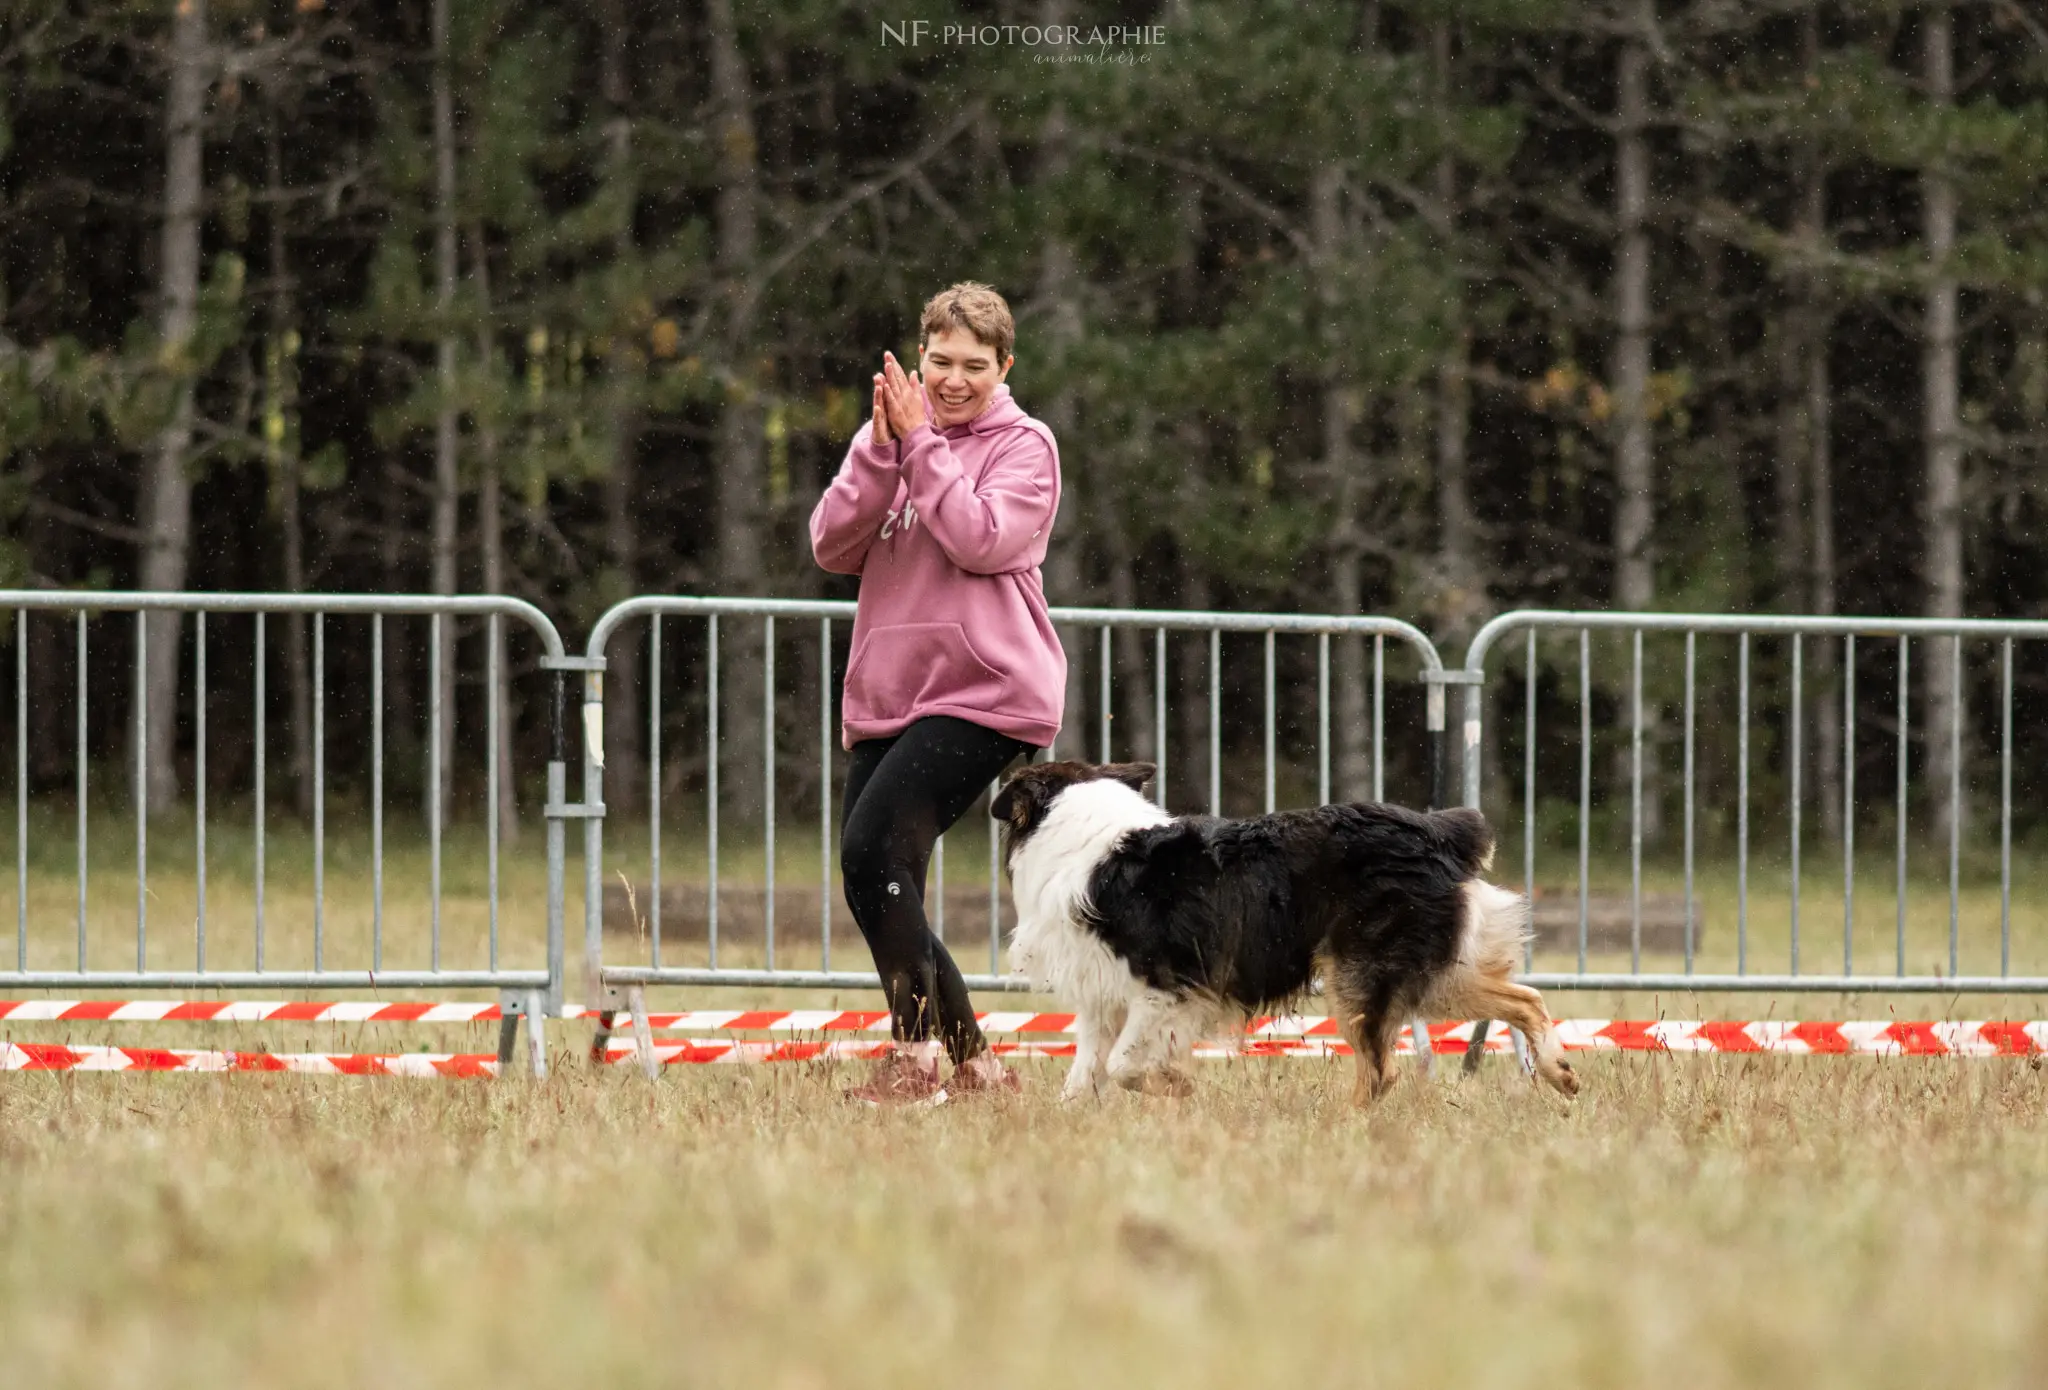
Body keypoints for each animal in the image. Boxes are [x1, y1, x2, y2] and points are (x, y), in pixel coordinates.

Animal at [995, 761, 1581, 1105]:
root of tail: (1439, 829)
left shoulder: (1169, 988)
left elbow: (1121, 1065)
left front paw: (1176, 1084)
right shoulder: (1103, 1000)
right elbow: (1083, 1080)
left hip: (1362, 975)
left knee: (1380, 1072)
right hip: (1432, 974)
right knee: (1526, 998)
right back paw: (1560, 1072)